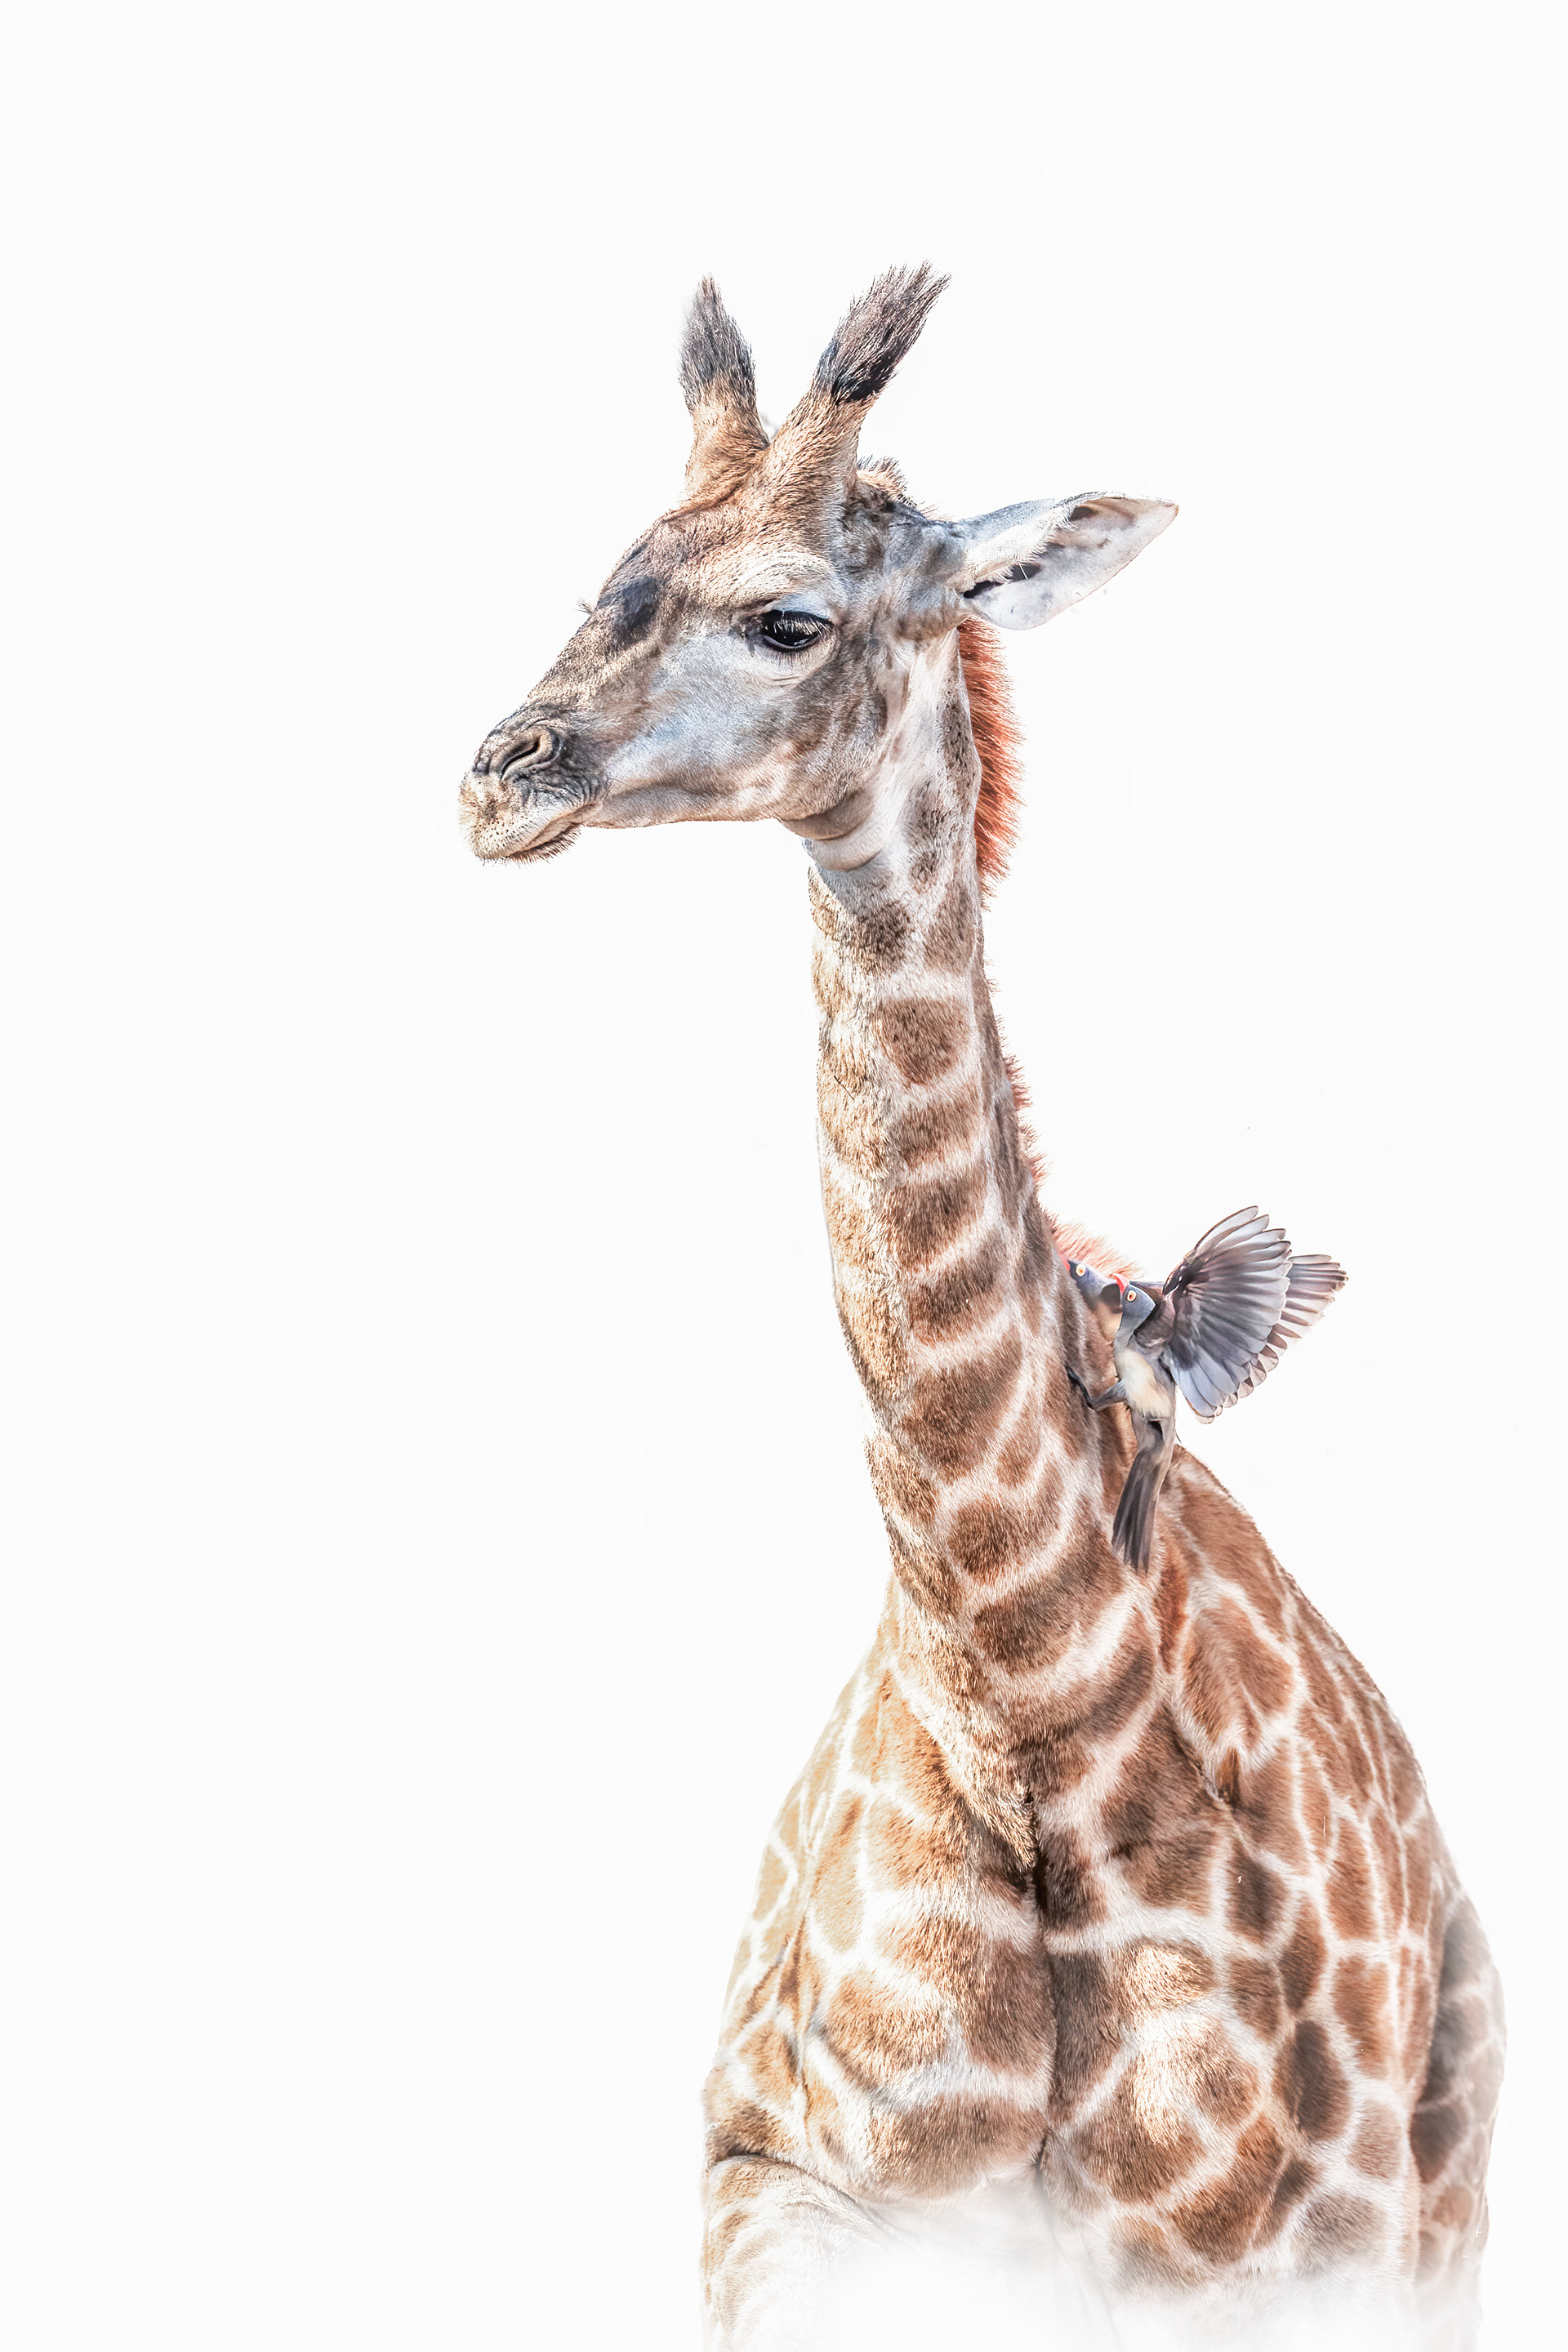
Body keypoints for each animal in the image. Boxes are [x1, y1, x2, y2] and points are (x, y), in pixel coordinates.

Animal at [458, 271, 1503, 2349]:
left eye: (791, 617)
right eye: (608, 575)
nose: (496, 779)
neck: (1023, 1682)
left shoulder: (1219, 2255)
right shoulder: (780, 2180)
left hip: (1432, 2223)